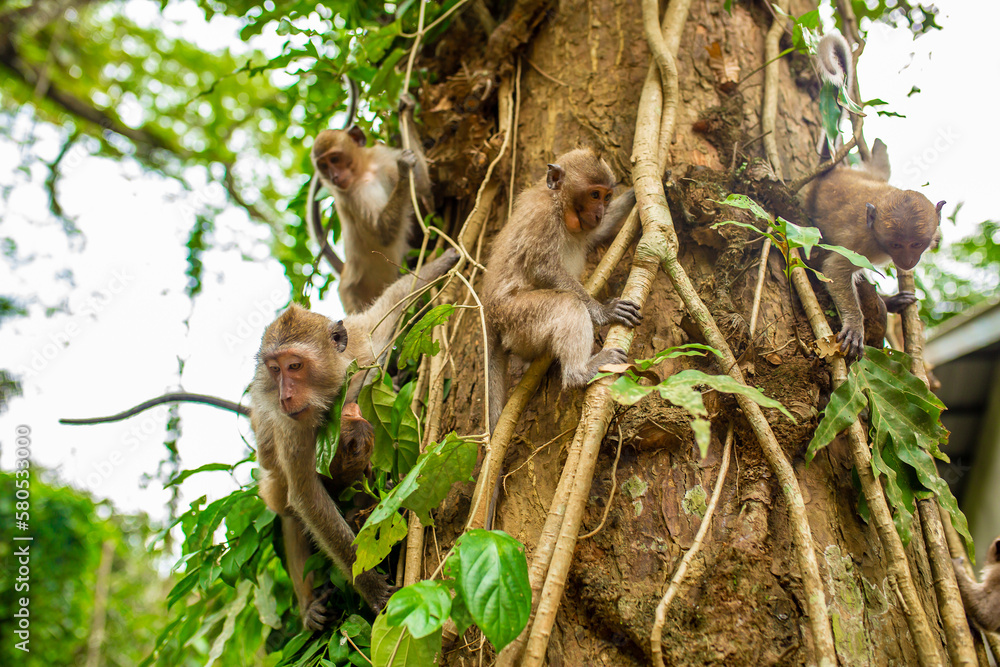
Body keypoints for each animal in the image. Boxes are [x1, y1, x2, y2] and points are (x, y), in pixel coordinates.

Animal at [250, 248, 458, 630]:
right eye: (274, 369)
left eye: (295, 366)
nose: (285, 396)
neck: (331, 393)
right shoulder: (291, 426)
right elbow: (307, 497)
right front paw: (371, 587)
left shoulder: (362, 346)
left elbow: (395, 300)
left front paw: (444, 260)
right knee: (289, 507)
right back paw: (310, 604)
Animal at [311, 94, 432, 314]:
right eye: (323, 165)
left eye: (335, 159)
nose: (333, 177)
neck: (364, 169)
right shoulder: (352, 195)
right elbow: (382, 232)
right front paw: (404, 170)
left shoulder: (382, 157)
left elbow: (422, 185)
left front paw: (407, 110)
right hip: (351, 294)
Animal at [482, 148, 641, 431]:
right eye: (594, 195)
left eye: (607, 197)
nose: (599, 212)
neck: (558, 204)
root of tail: (489, 312)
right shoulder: (542, 218)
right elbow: (542, 268)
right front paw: (603, 311)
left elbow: (600, 231)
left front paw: (639, 192)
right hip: (515, 318)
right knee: (567, 304)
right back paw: (579, 373)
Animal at [802, 138, 944, 359]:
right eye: (896, 245)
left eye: (916, 244)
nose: (907, 261)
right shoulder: (863, 245)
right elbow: (835, 269)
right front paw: (854, 324)